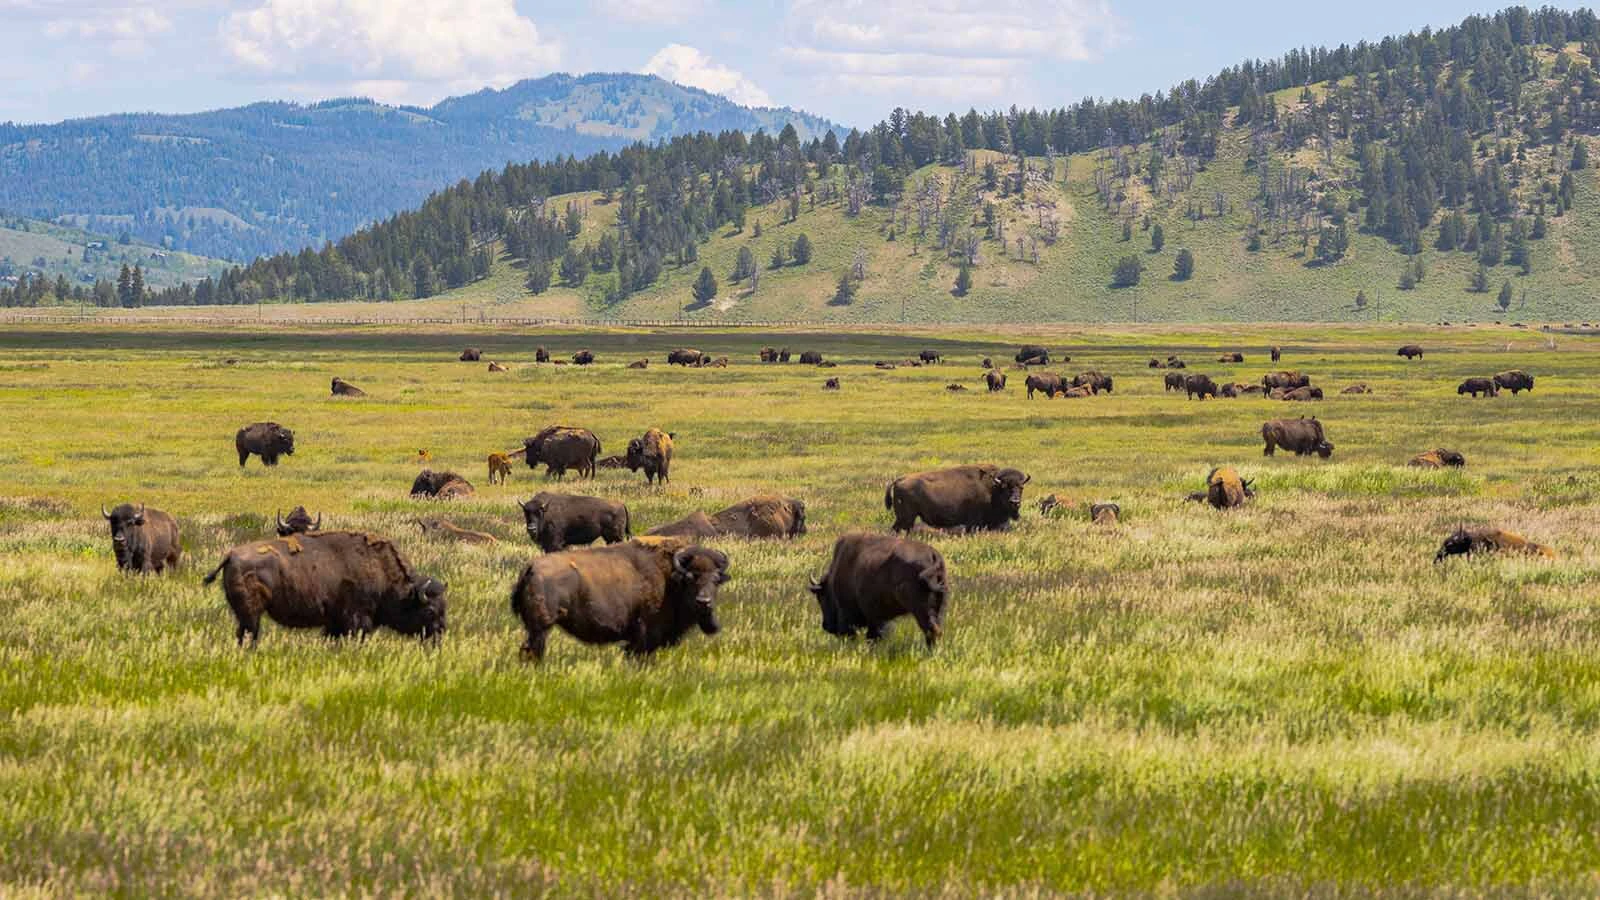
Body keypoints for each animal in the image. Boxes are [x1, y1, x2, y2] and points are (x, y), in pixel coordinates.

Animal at [203, 530, 446, 645]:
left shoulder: (335, 624)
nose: (440, 633)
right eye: (430, 611)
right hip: (251, 615)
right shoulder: (357, 620)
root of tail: (231, 555)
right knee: (249, 634)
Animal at [511, 537, 729, 660]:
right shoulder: (643, 637)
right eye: (691, 577)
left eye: (716, 580)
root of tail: (531, 568)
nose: (704, 602)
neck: (669, 578)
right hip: (540, 629)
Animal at [810, 533, 948, 650]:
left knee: (931, 630)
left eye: (821, 597)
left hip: (920, 609)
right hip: (938, 607)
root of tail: (933, 556)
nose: (826, 626)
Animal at [886, 464, 1030, 533]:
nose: (1015, 502)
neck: (993, 487)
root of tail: (899, 479)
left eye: (1021, 487)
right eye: (1005, 487)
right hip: (905, 518)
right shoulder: (974, 523)